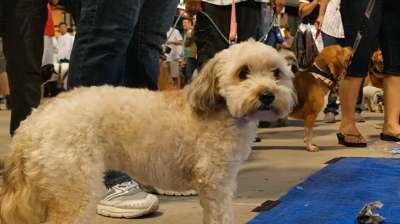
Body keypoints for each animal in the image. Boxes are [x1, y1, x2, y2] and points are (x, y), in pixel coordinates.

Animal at [0, 40, 294, 224]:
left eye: (276, 73)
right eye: (243, 72)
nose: (267, 95)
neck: (220, 111)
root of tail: (33, 122)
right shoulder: (216, 184)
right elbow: (220, 217)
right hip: (75, 192)